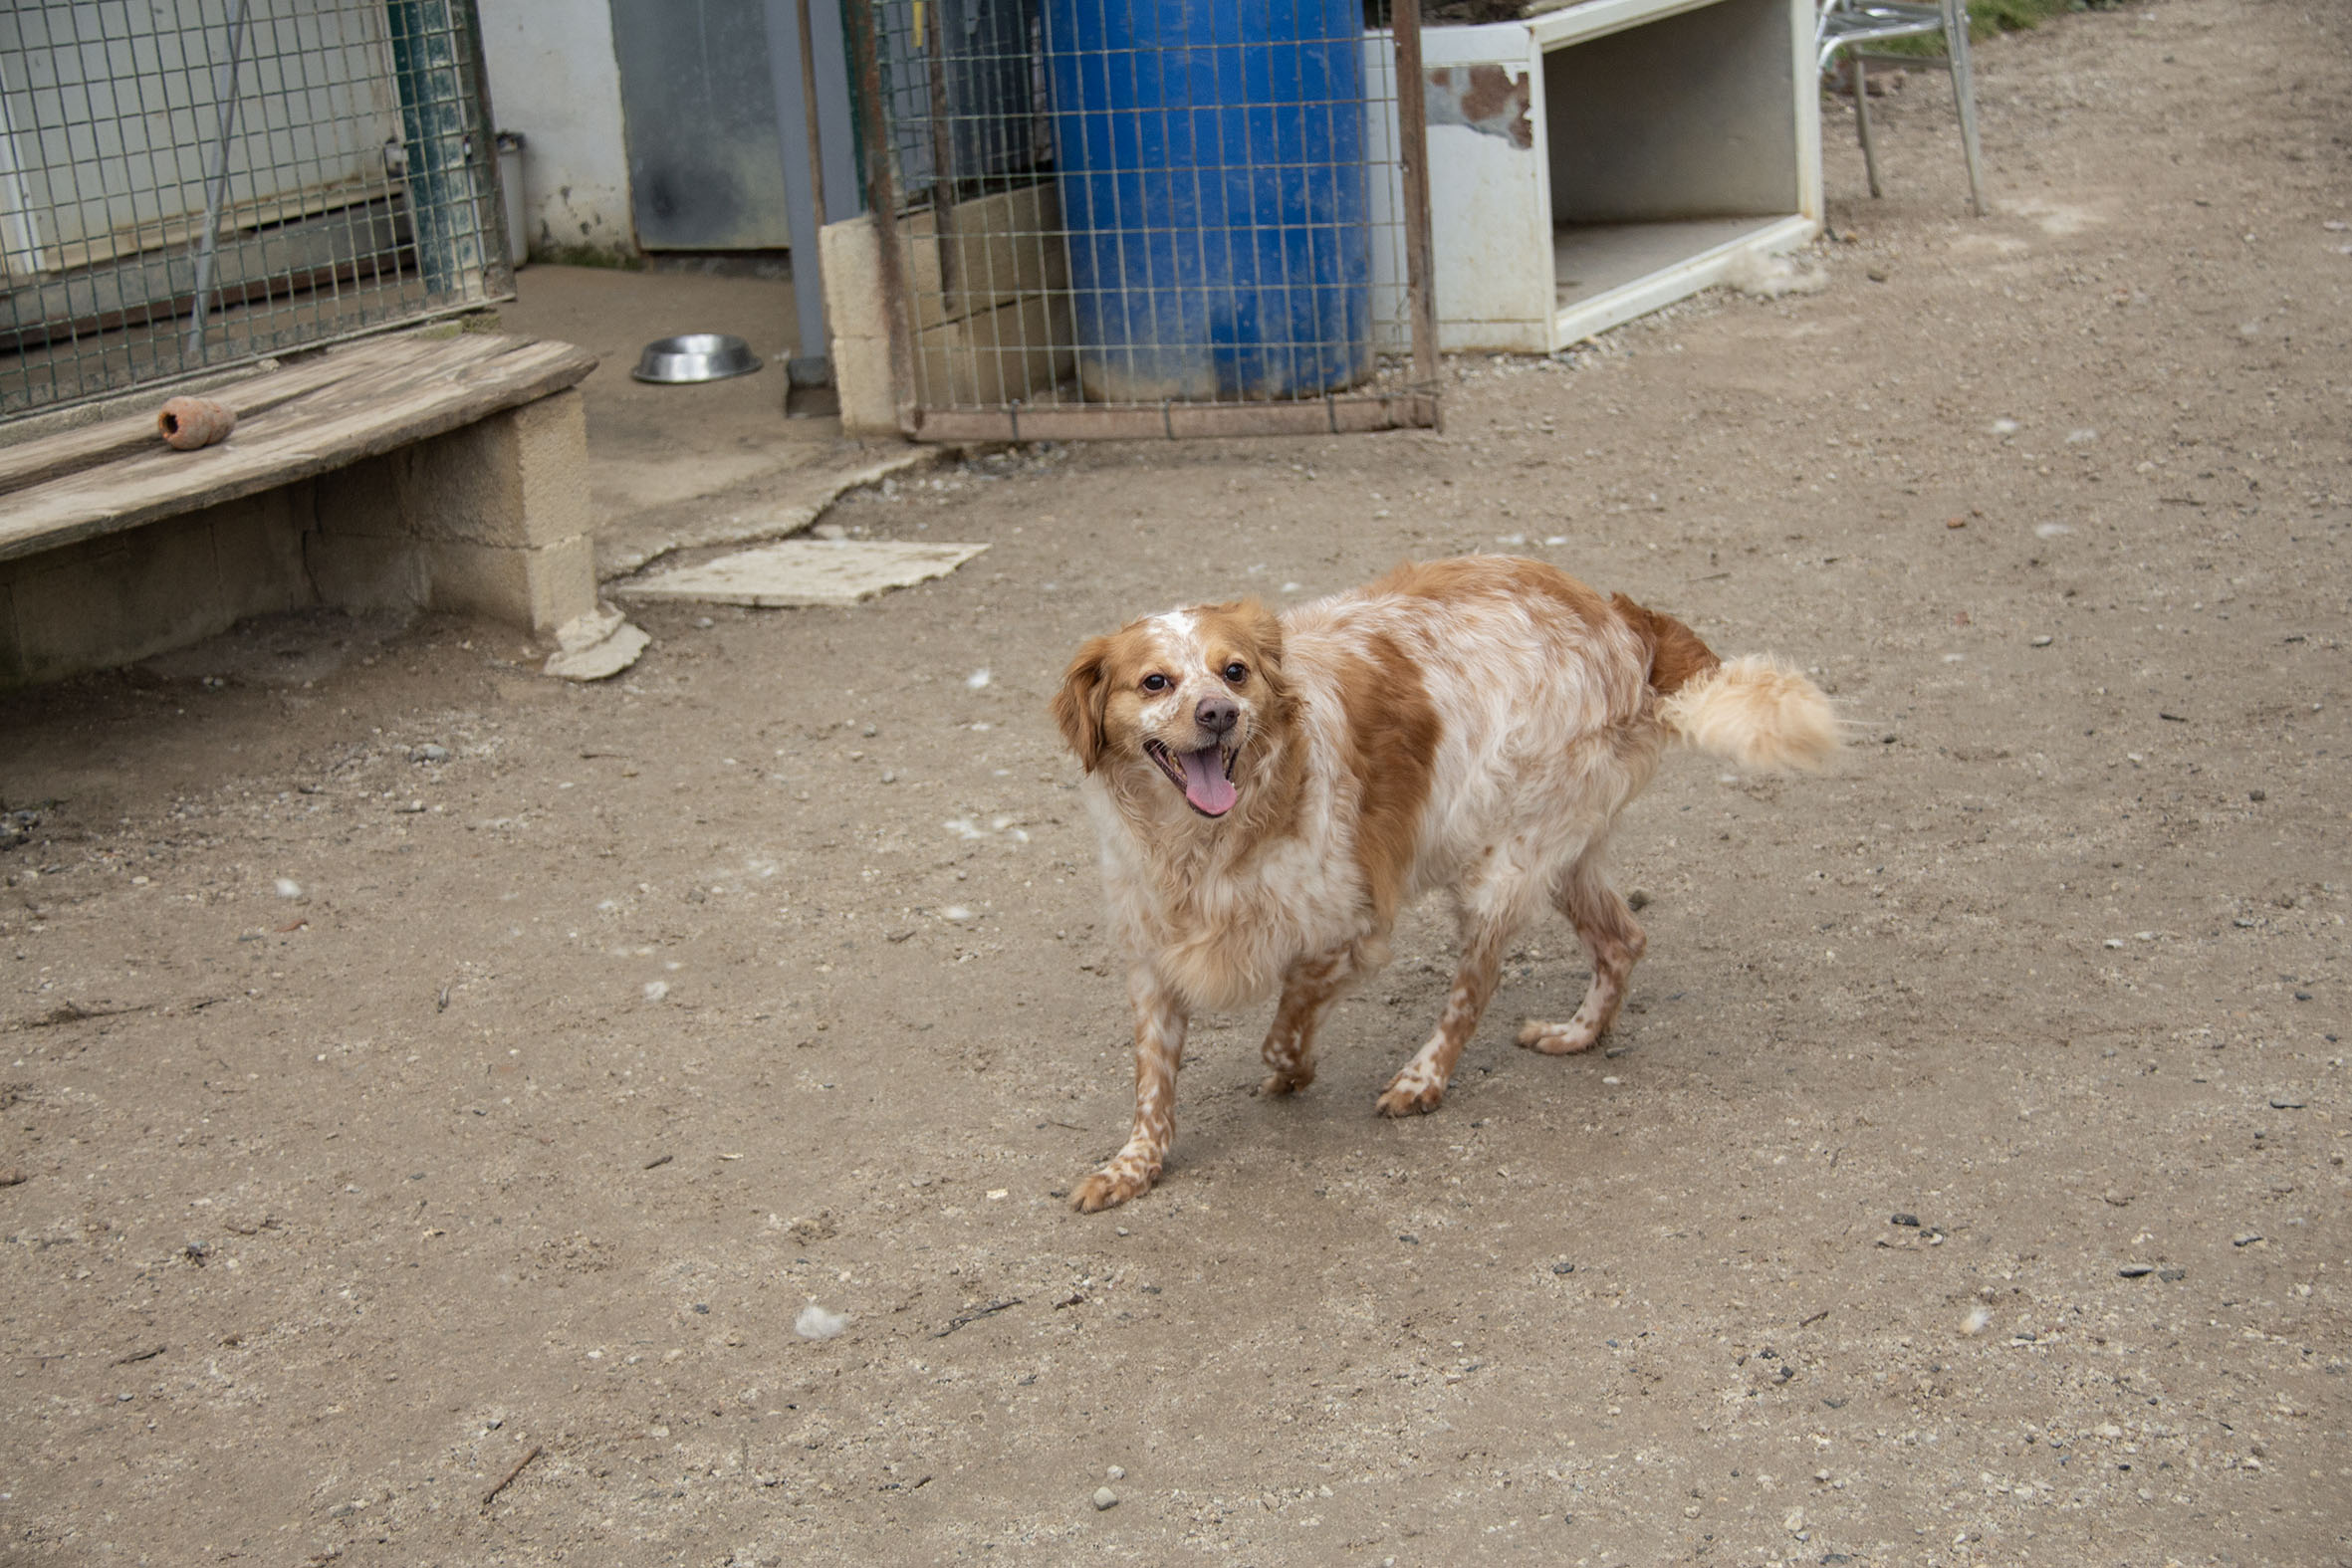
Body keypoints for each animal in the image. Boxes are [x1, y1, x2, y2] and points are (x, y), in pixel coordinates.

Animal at [1050, 556, 1836, 1212]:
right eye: (1156, 681)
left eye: (1235, 671)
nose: (1219, 713)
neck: (1205, 845)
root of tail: (1617, 612)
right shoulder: (1152, 953)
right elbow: (1153, 1084)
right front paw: (1131, 1169)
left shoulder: (1353, 926)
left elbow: (1283, 1028)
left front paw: (1298, 1068)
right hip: (1560, 853)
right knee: (1624, 938)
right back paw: (1577, 1034)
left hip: (1503, 862)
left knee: (1474, 988)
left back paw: (1422, 1079)